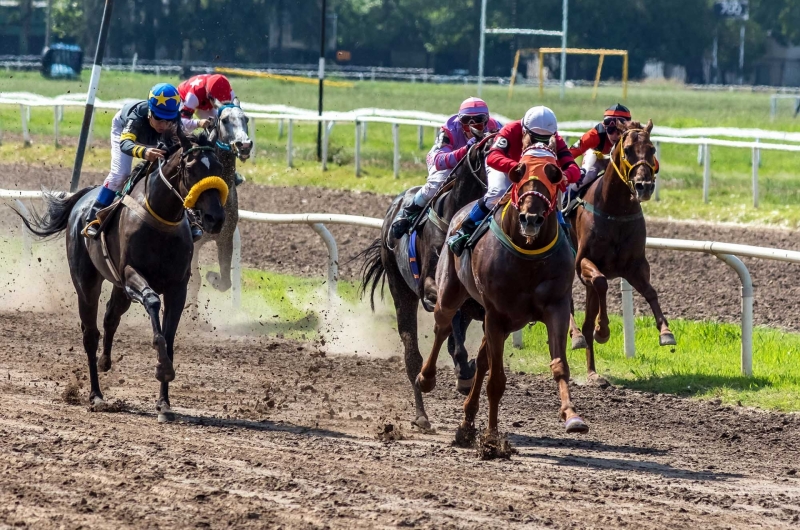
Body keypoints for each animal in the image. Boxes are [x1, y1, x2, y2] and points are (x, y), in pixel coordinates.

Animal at [16, 129, 228, 420]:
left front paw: (164, 403)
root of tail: (84, 198)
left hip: (119, 289)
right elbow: (152, 302)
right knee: (90, 334)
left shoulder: (177, 287)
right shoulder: (130, 275)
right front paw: (162, 367)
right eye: (191, 168)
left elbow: (169, 337)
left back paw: (105, 362)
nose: (215, 218)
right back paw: (96, 395)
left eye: (218, 166)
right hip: (86, 283)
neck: (161, 219)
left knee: (110, 316)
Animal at [188, 103, 250, 310]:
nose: (244, 144)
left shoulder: (225, 238)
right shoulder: (193, 243)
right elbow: (193, 280)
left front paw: (212, 277)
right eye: (224, 120)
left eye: (246, 119)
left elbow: (225, 282)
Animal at [418, 140, 588, 458]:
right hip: (451, 291)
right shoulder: (495, 313)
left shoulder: (555, 308)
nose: (531, 218)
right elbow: (496, 382)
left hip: (506, 322)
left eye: (555, 174)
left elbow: (559, 365)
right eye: (519, 171)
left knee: (483, 359)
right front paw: (492, 441)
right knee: (442, 326)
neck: (529, 256)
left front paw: (572, 416)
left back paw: (466, 424)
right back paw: (426, 378)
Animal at [564, 119, 680, 384]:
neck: (614, 209)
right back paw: (576, 336)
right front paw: (603, 330)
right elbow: (601, 282)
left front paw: (666, 332)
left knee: (588, 315)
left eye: (652, 149)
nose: (644, 186)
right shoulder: (584, 262)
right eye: (627, 150)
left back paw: (593, 372)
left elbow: (650, 292)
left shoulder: (635, 265)